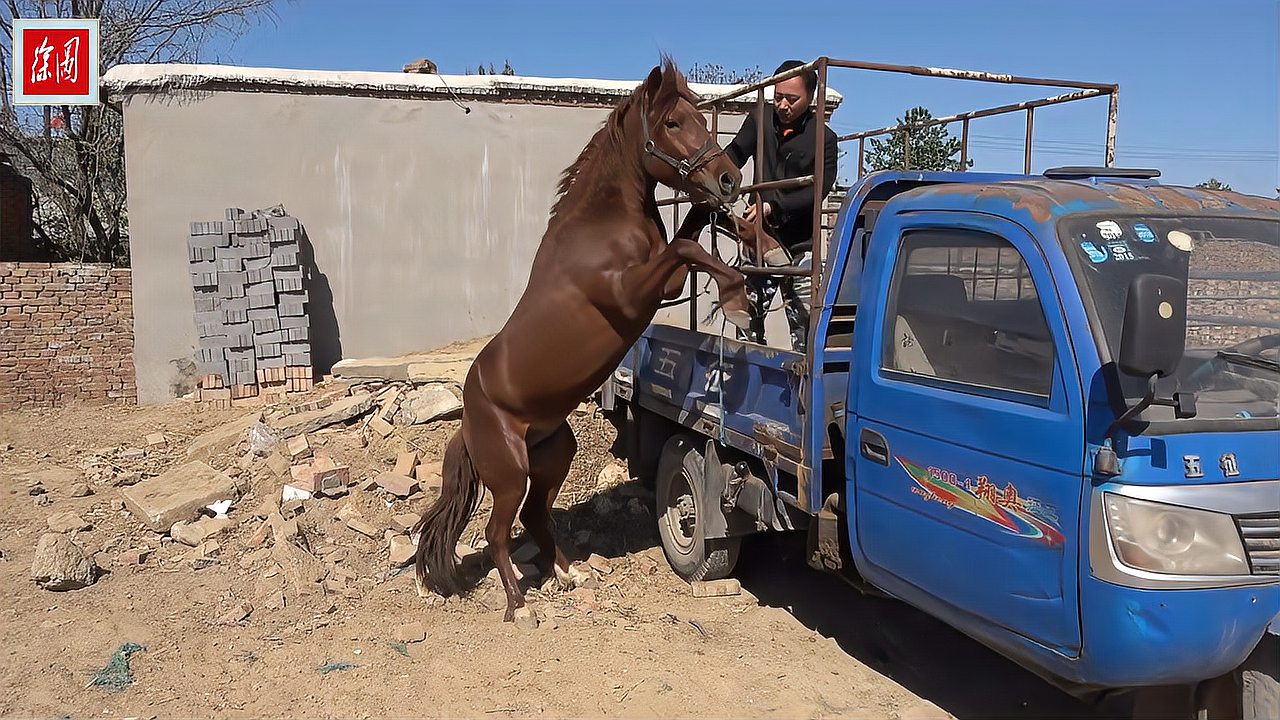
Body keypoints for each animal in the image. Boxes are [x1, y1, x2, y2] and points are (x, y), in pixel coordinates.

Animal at [409, 60, 747, 622]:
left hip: (554, 456)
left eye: (702, 118)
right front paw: (739, 299)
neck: (598, 227)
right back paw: (519, 604)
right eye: (673, 122)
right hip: (509, 472)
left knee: (534, 518)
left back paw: (570, 573)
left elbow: (692, 238)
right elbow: (688, 247)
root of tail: (469, 421)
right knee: (497, 531)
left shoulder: (665, 282)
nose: (729, 179)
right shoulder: (632, 293)